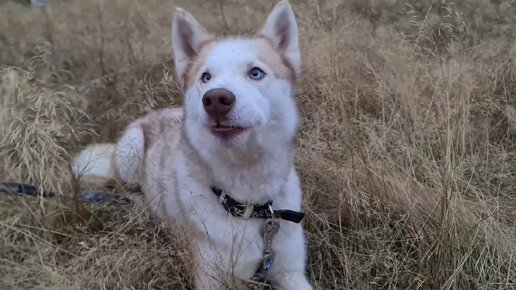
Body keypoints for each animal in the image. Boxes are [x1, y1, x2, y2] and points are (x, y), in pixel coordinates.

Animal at [72, 1, 312, 288]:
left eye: (256, 73)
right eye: (206, 77)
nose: (216, 99)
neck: (249, 206)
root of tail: (155, 113)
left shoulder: (290, 271)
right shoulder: (211, 278)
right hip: (132, 148)